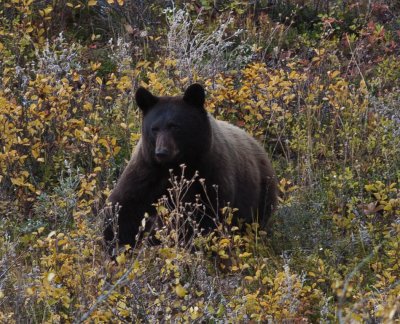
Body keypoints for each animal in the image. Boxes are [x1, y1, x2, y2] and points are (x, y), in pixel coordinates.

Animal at [104, 83, 278, 253]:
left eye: (174, 126)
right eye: (154, 128)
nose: (162, 152)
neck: (175, 166)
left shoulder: (209, 173)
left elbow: (208, 214)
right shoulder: (146, 171)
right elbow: (125, 205)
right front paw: (115, 243)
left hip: (262, 195)